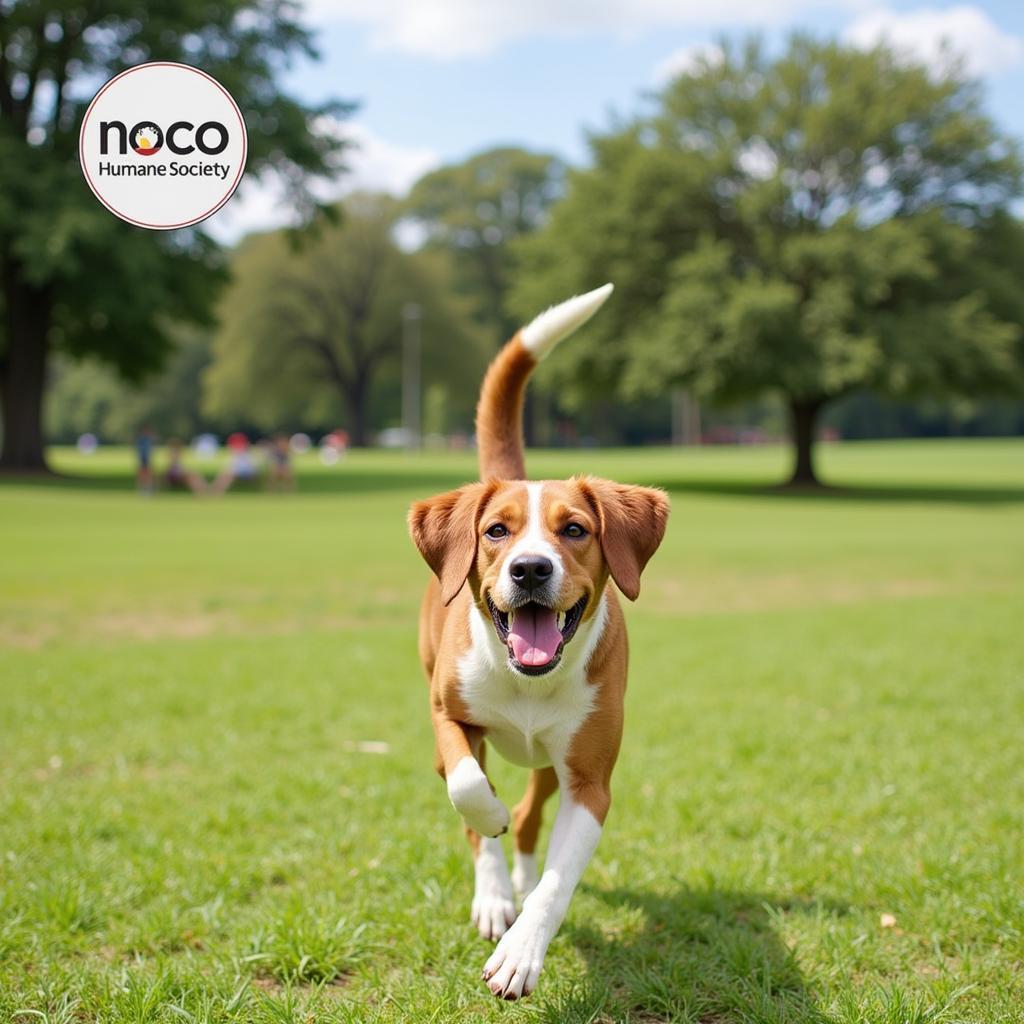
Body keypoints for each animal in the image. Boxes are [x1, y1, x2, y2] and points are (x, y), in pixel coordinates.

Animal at [407, 282, 671, 999]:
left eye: (575, 529)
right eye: (496, 531)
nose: (530, 569)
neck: (527, 679)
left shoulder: (590, 779)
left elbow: (557, 879)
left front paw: (522, 951)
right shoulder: (450, 716)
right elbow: (468, 789)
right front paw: (493, 873)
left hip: (555, 762)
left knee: (530, 816)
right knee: (484, 807)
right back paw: (497, 888)